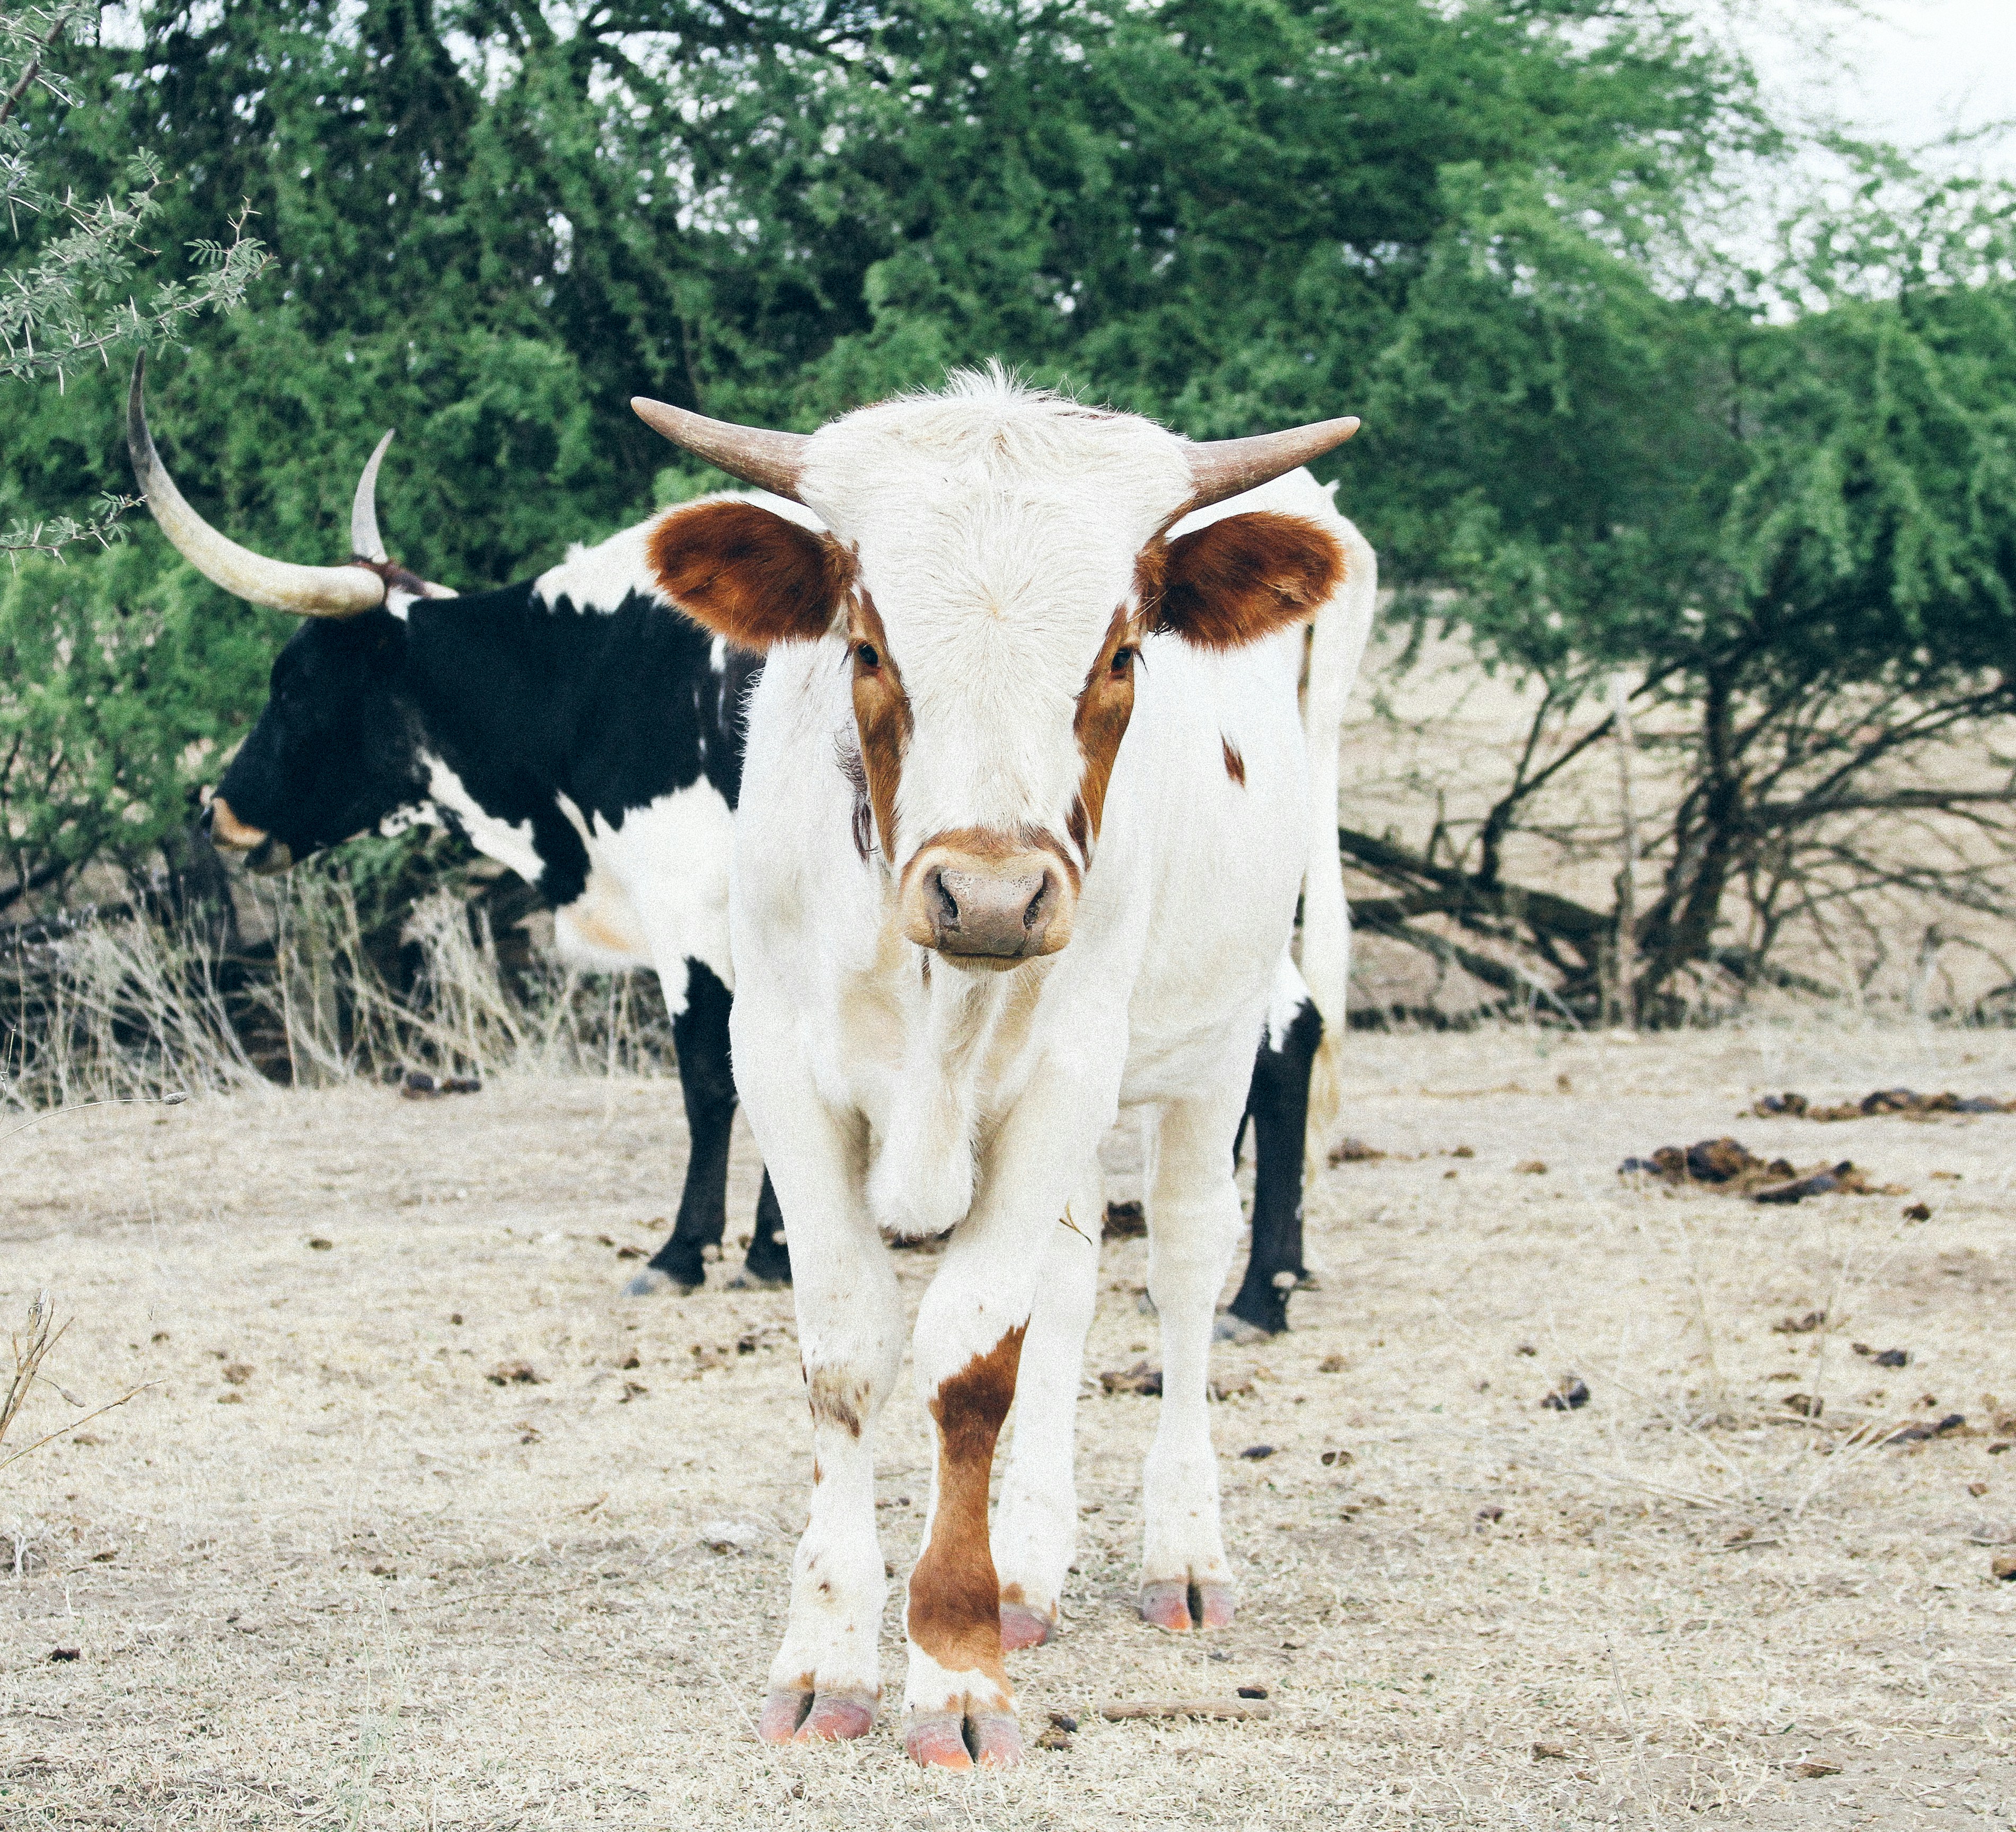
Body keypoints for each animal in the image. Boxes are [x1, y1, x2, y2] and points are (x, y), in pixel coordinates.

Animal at [629, 371, 1376, 1768]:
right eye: (867, 649)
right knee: (1071, 1295)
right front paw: (827, 1656)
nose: (986, 896)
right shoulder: (784, 1077)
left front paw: (953, 1667)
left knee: (1181, 1273)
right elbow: (850, 1354)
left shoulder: (1063, 1082)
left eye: (1121, 654)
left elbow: (972, 1358)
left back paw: (1180, 1551)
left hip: (1206, 1053)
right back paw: (1030, 1568)